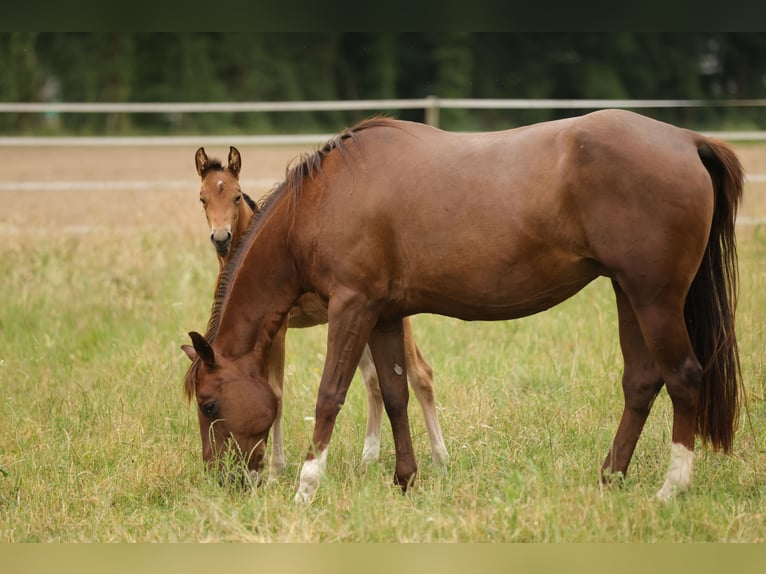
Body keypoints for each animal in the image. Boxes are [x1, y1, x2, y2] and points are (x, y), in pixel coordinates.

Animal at [191, 145, 448, 479]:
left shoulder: (279, 330)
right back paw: (369, 457)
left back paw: (440, 458)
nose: (221, 238)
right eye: (202, 198)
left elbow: (277, 393)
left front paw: (275, 470)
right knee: (374, 382)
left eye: (236, 196)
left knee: (421, 374)